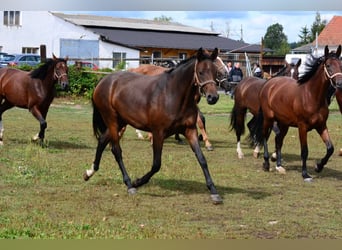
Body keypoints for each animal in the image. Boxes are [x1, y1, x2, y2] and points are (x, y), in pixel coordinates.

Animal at [82, 47, 222, 204]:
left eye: (215, 72)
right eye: (201, 72)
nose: (213, 97)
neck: (172, 94)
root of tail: (103, 80)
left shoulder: (190, 130)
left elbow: (202, 159)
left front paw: (214, 191)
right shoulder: (158, 133)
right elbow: (156, 164)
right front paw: (137, 182)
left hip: (120, 122)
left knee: (101, 141)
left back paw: (89, 172)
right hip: (112, 120)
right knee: (116, 151)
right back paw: (129, 184)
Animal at [248, 45, 342, 182]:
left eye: (341, 64)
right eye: (328, 65)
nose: (340, 83)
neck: (311, 96)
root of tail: (268, 84)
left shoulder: (321, 126)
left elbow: (330, 148)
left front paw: (318, 166)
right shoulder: (302, 127)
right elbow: (304, 151)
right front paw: (305, 174)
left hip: (284, 124)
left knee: (278, 140)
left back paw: (279, 165)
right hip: (269, 119)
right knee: (265, 136)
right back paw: (266, 163)